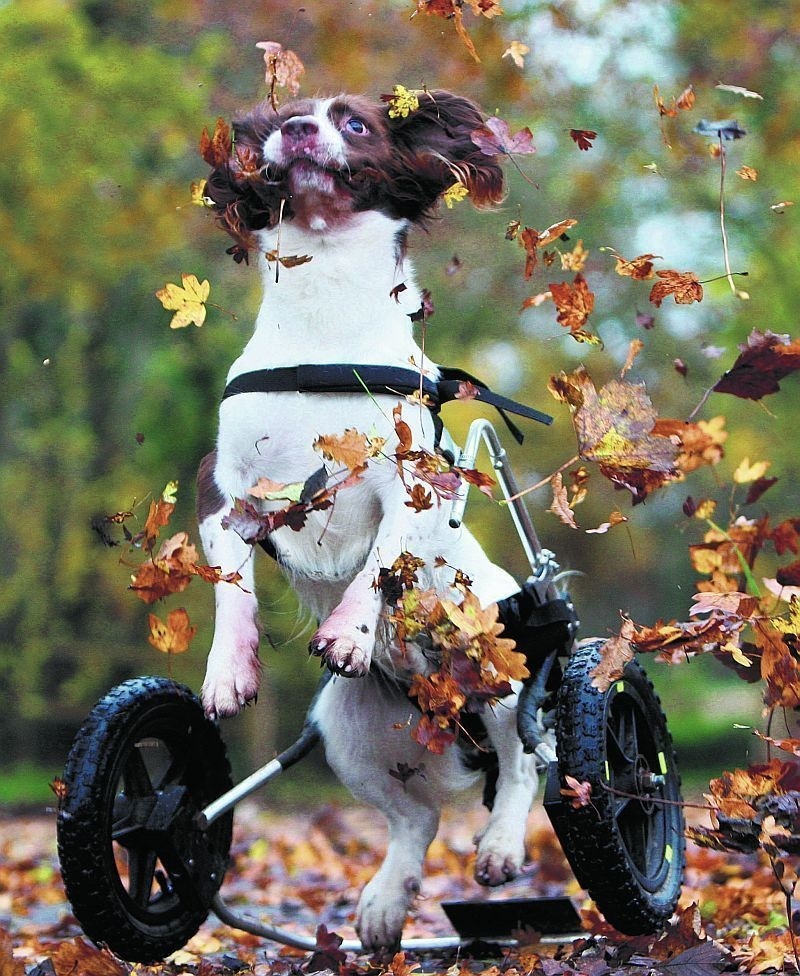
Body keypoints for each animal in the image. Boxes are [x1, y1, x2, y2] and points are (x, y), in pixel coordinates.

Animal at [197, 89, 540, 944]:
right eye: (283, 115)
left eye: (354, 122)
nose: (295, 129)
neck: (322, 322)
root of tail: (449, 721)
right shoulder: (223, 491)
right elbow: (229, 582)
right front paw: (229, 672)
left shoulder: (415, 487)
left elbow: (382, 562)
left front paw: (350, 632)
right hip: (345, 731)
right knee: (414, 821)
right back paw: (385, 900)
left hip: (496, 665)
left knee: (526, 758)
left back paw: (502, 846)